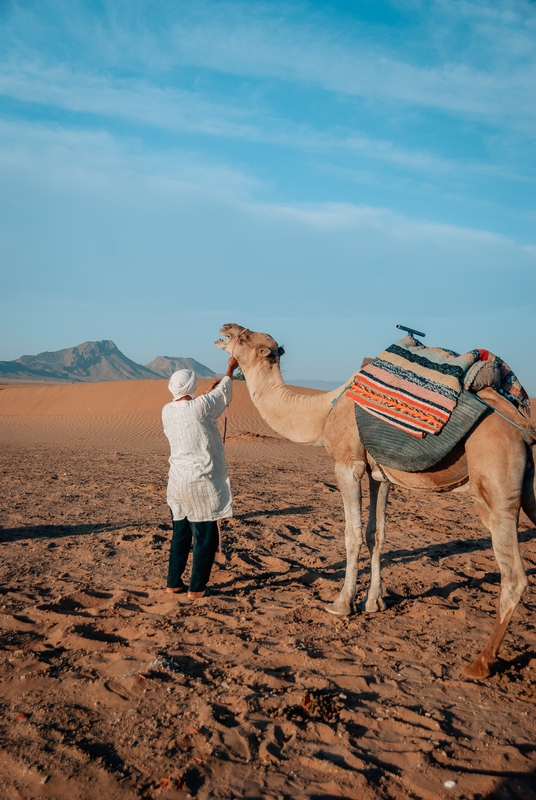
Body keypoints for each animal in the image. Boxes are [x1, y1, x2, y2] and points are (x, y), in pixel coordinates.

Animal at [217, 322, 536, 680]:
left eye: (244, 337)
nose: (225, 327)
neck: (322, 413)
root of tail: (524, 428)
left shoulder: (348, 465)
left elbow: (353, 535)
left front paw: (342, 604)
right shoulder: (378, 475)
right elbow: (377, 535)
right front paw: (374, 603)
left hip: (497, 487)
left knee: (514, 577)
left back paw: (481, 662)